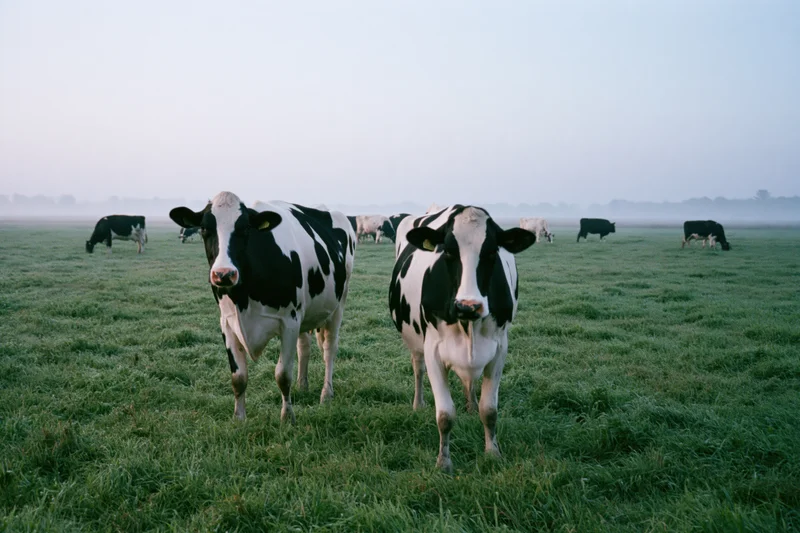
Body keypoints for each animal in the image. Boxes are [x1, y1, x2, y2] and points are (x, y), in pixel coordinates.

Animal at [169, 192, 356, 424]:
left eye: (245, 229)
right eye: (204, 228)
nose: (223, 274)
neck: (244, 298)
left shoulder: (289, 321)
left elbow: (282, 374)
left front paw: (287, 418)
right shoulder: (227, 322)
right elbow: (238, 377)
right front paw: (239, 419)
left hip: (339, 304)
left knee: (330, 348)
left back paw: (326, 394)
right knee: (304, 346)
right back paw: (302, 385)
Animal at [389, 205, 536, 472]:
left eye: (492, 252)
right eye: (448, 251)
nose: (468, 306)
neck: (468, 324)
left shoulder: (499, 349)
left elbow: (489, 410)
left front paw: (492, 452)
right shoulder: (433, 350)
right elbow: (445, 415)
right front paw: (444, 462)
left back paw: (471, 404)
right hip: (415, 343)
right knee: (418, 369)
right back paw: (418, 404)